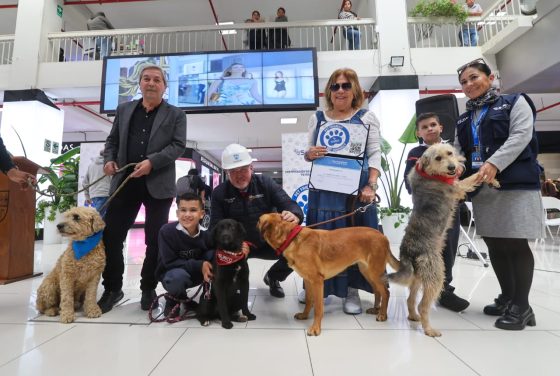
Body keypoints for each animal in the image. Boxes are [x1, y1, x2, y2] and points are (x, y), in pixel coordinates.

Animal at [258, 213, 398, 336]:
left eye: (259, 220)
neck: (291, 238)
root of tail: (383, 236)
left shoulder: (317, 281)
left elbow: (318, 308)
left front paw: (315, 328)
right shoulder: (308, 280)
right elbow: (309, 300)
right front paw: (304, 315)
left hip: (374, 272)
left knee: (386, 292)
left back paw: (382, 315)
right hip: (367, 272)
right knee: (377, 290)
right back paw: (376, 309)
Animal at [388, 144, 500, 338]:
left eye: (449, 153)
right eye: (438, 158)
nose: (452, 167)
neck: (428, 172)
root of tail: (408, 252)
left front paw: (492, 179)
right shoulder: (458, 187)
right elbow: (473, 177)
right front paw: (487, 173)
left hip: (418, 277)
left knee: (410, 300)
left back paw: (413, 317)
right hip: (436, 274)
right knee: (422, 305)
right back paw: (429, 329)